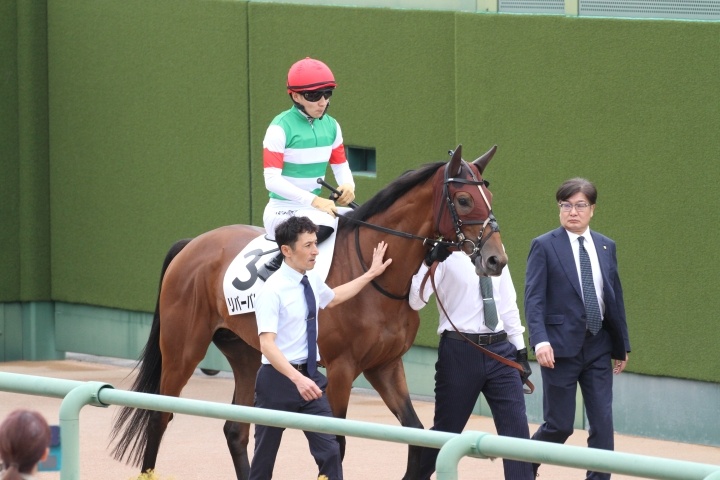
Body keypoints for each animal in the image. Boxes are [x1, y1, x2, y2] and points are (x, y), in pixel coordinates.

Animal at [110, 144, 508, 479]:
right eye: (463, 199)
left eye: (489, 197)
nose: (496, 259)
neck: (374, 278)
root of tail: (192, 243)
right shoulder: (343, 368)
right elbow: (338, 441)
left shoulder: (385, 365)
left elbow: (417, 435)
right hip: (182, 351)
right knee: (158, 415)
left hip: (247, 355)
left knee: (236, 428)